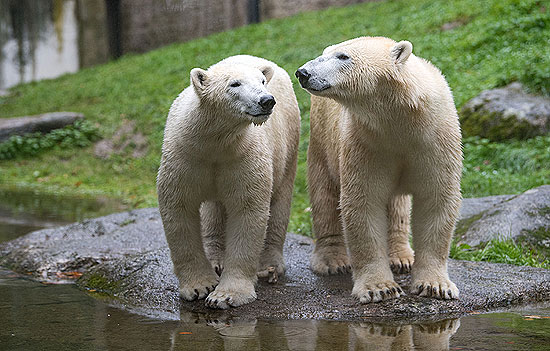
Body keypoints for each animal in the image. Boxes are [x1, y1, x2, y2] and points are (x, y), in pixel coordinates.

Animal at [155, 53, 302, 310]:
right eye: (235, 84)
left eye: (262, 81)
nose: (266, 100)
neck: (214, 143)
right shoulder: (185, 156)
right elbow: (179, 208)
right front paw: (199, 287)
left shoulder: (243, 157)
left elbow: (247, 211)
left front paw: (225, 295)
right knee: (213, 210)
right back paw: (216, 260)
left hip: (289, 144)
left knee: (280, 202)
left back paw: (269, 266)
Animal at [296, 37, 464, 304]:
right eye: (325, 52)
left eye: (343, 56)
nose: (303, 73)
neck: (398, 117)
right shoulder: (365, 142)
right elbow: (363, 203)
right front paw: (380, 288)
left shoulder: (435, 139)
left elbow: (436, 200)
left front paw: (435, 286)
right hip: (322, 137)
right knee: (324, 192)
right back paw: (333, 260)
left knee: (397, 205)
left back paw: (402, 257)